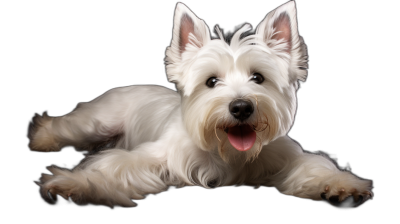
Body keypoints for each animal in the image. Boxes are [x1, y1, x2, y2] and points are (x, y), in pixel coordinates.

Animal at [29, 1, 374, 208]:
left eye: (258, 78)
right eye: (211, 82)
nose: (241, 108)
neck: (227, 153)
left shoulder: (286, 159)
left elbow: (314, 166)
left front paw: (342, 185)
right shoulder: (153, 157)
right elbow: (112, 167)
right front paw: (75, 185)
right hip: (96, 122)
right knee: (62, 125)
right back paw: (42, 139)